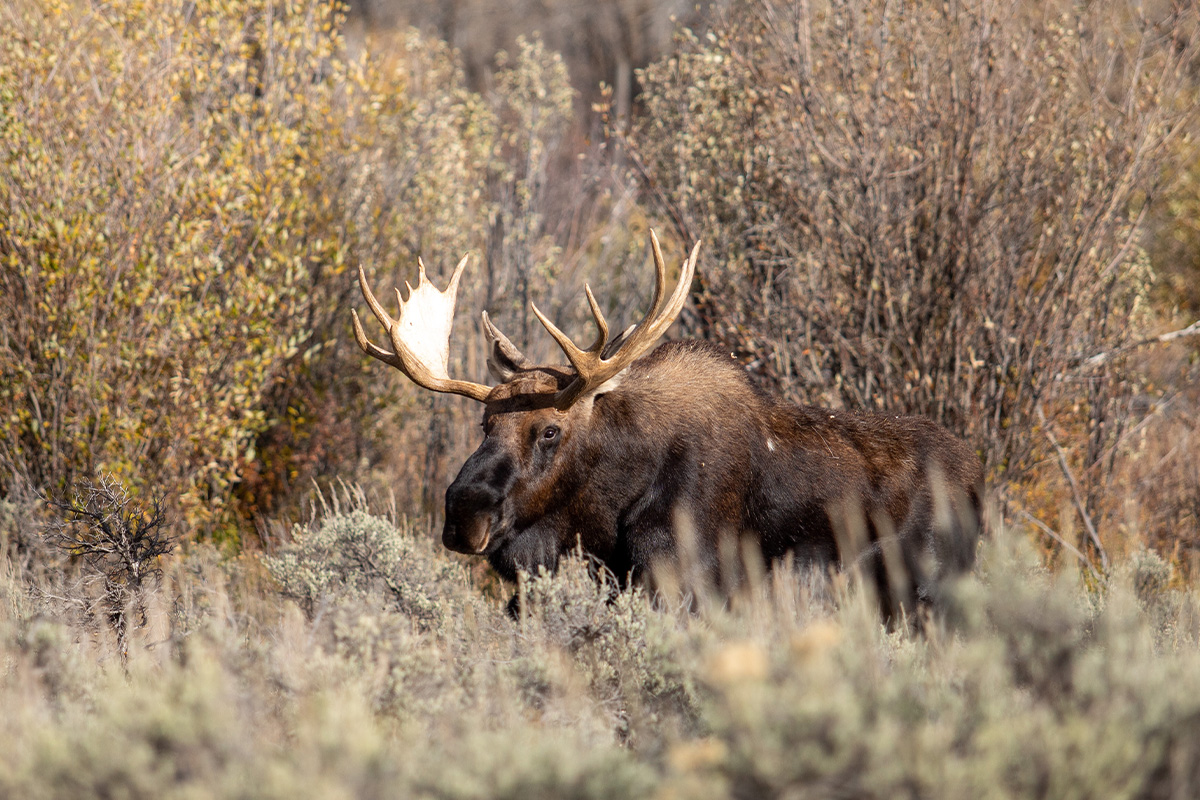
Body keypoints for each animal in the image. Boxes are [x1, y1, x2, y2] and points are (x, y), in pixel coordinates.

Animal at [350, 232, 979, 618]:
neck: (605, 513)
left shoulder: (685, 581)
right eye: (484, 424)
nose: (464, 512)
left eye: (550, 430)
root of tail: (979, 484)